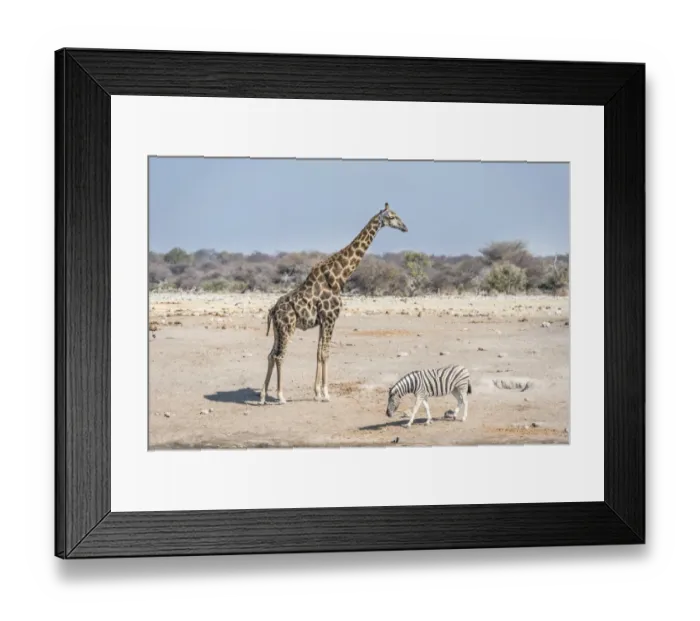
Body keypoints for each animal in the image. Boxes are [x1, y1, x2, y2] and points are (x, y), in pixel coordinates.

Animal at [259, 203, 408, 405]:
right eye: (392, 216)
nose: (405, 227)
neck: (340, 276)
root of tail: (273, 310)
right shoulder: (331, 318)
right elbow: (326, 353)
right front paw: (326, 393)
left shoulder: (323, 321)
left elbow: (318, 353)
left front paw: (316, 393)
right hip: (287, 327)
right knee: (279, 356)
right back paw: (281, 396)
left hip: (277, 329)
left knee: (270, 355)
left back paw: (262, 395)